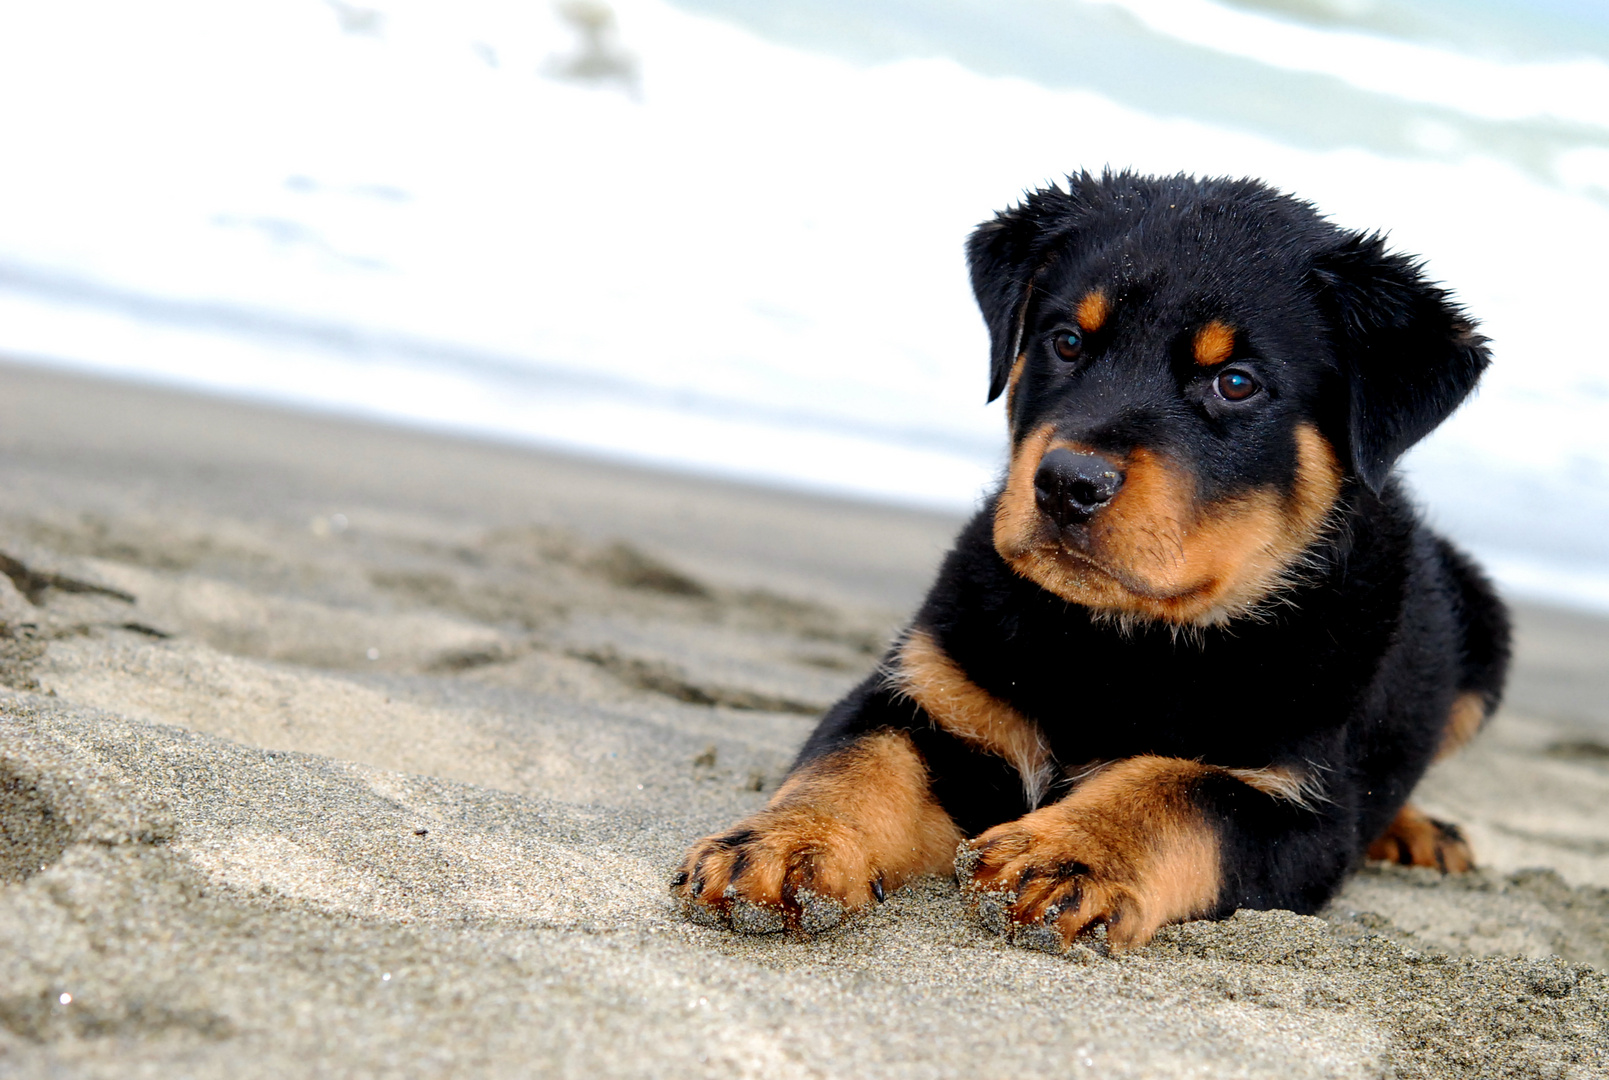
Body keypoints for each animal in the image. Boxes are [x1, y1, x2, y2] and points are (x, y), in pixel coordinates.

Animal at [666, 171, 1506, 952]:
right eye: (1066, 341)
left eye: (1235, 383)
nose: (1067, 483)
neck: (1113, 640)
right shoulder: (928, 694)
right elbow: (856, 762)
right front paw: (786, 843)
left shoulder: (1296, 802)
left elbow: (1180, 789)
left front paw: (1068, 852)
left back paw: (1418, 830)